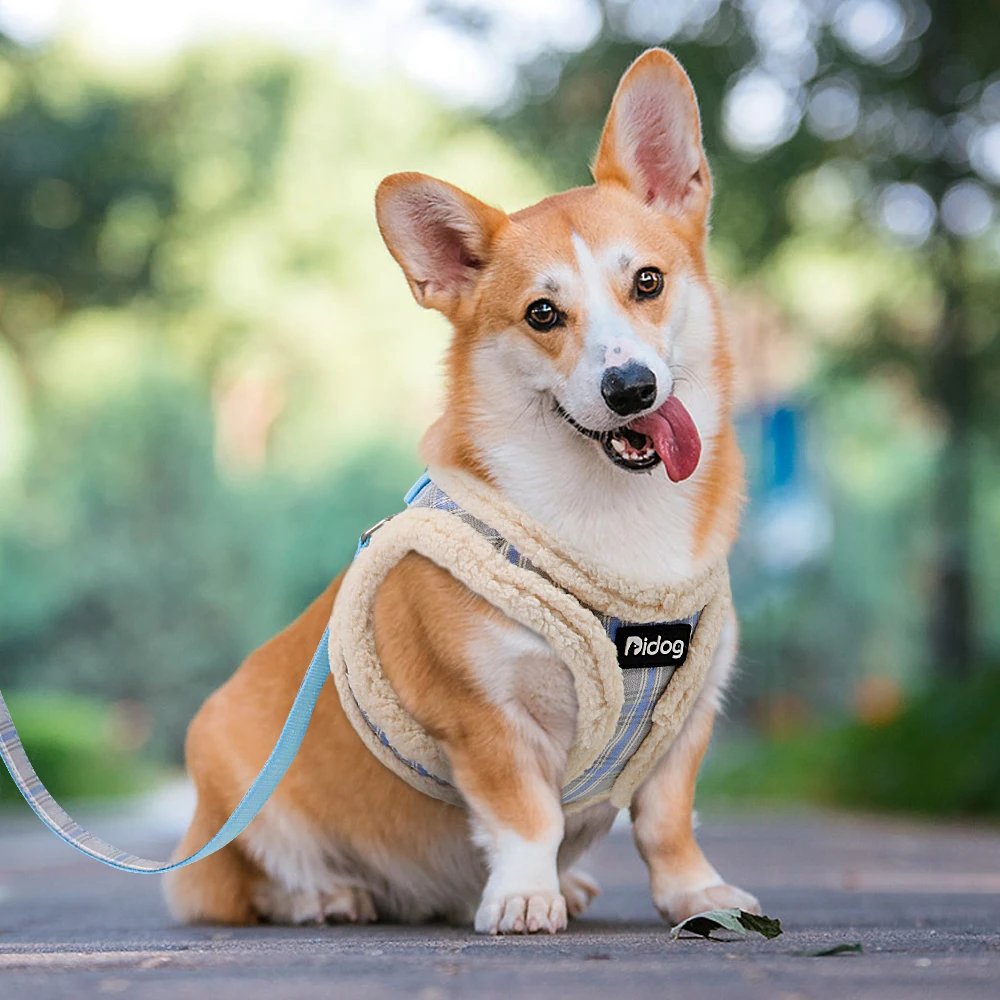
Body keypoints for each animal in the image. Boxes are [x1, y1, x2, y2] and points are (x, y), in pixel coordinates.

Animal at [164, 47, 756, 932]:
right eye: (542, 313)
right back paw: (330, 894)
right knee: (260, 878)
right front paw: (524, 896)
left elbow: (666, 823)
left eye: (648, 282)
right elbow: (528, 815)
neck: (612, 526)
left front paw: (696, 895)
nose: (630, 389)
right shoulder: (485, 716)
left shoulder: (685, 719)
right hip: (231, 774)